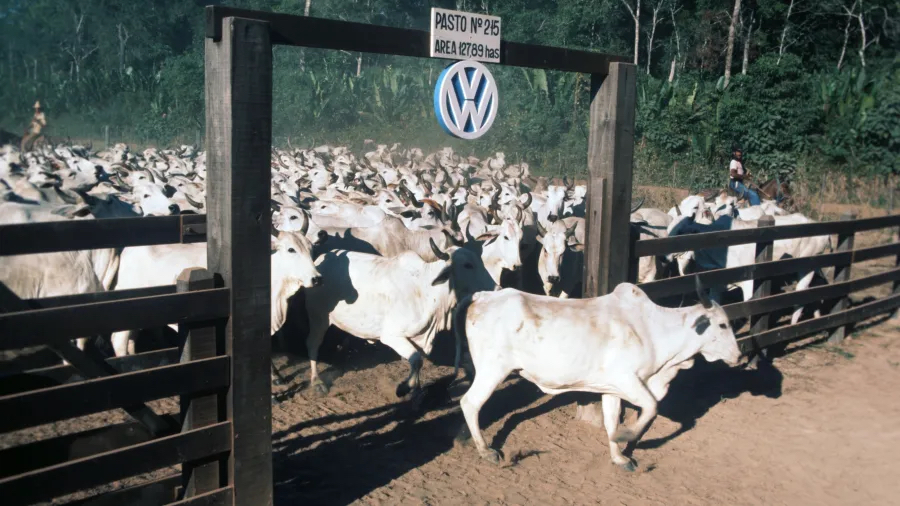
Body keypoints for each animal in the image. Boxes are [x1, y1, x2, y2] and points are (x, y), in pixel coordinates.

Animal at [452, 278, 740, 469]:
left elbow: (612, 421)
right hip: (493, 369)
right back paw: (485, 450)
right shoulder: (629, 380)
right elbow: (651, 407)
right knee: (470, 402)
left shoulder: (611, 389)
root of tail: (481, 296)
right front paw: (626, 437)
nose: (737, 355)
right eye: (722, 325)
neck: (653, 330)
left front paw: (619, 457)